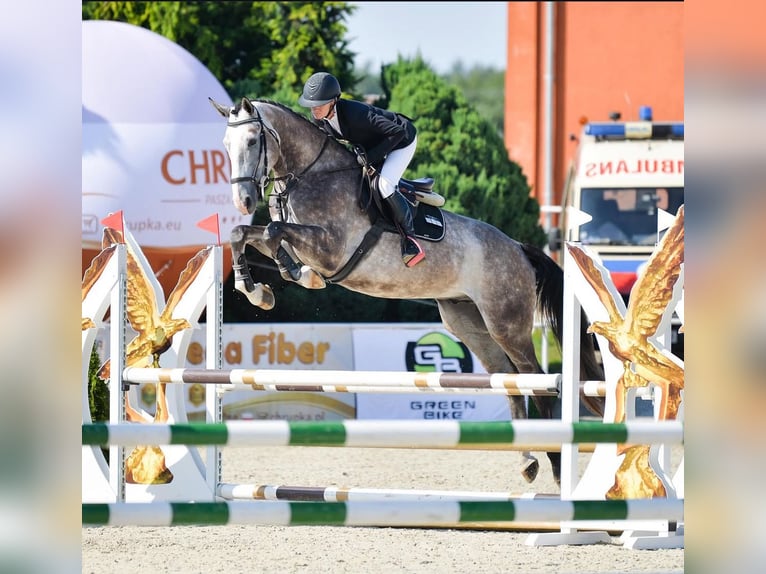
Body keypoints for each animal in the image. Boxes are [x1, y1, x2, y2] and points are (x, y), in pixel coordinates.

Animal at [212, 97, 608, 488]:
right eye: (225, 146)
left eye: (253, 141)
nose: (244, 201)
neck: (311, 176)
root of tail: (519, 249)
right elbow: (246, 234)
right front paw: (256, 289)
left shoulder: (330, 249)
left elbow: (273, 232)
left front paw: (297, 275)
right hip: (468, 322)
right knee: (506, 376)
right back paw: (527, 461)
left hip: (506, 323)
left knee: (536, 380)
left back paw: (555, 465)